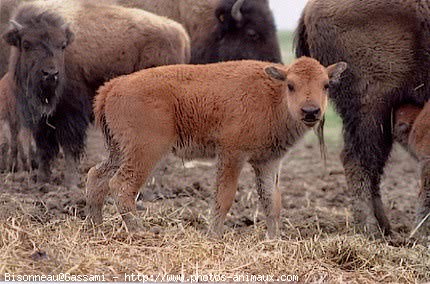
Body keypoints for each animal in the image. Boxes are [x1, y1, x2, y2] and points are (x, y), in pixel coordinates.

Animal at [86, 57, 346, 237]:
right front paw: (215, 236)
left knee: (96, 176)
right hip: (145, 152)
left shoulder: (268, 161)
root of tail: (113, 86)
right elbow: (225, 196)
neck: (273, 95)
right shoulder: (232, 155)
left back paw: (95, 227)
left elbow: (272, 201)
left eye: (326, 85)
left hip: (119, 151)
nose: (311, 111)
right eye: (291, 85)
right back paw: (140, 232)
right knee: (121, 185)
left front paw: (274, 240)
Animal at [294, 0, 430, 235]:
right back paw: (371, 230)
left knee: (373, 164)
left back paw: (385, 228)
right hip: (372, 108)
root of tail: (309, 9)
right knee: (357, 159)